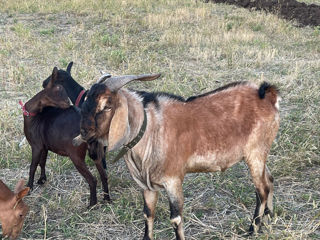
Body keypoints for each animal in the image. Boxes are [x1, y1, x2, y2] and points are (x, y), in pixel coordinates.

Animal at [22, 67, 110, 206]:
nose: (69, 106)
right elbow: (42, 162)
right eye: (59, 91)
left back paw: (92, 204)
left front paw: (29, 188)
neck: (32, 114)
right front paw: (42, 180)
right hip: (97, 153)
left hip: (76, 156)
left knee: (92, 179)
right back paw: (107, 199)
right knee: (104, 175)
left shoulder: (36, 146)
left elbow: (32, 167)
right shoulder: (44, 146)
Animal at [74, 74, 278, 239]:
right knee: (269, 180)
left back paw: (253, 229)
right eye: (85, 102)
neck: (150, 129)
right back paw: (269, 218)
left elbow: (176, 218)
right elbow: (148, 213)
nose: (83, 131)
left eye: (107, 106)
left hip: (255, 154)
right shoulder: (147, 185)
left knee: (261, 190)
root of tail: (267, 94)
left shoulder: (173, 180)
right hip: (259, 154)